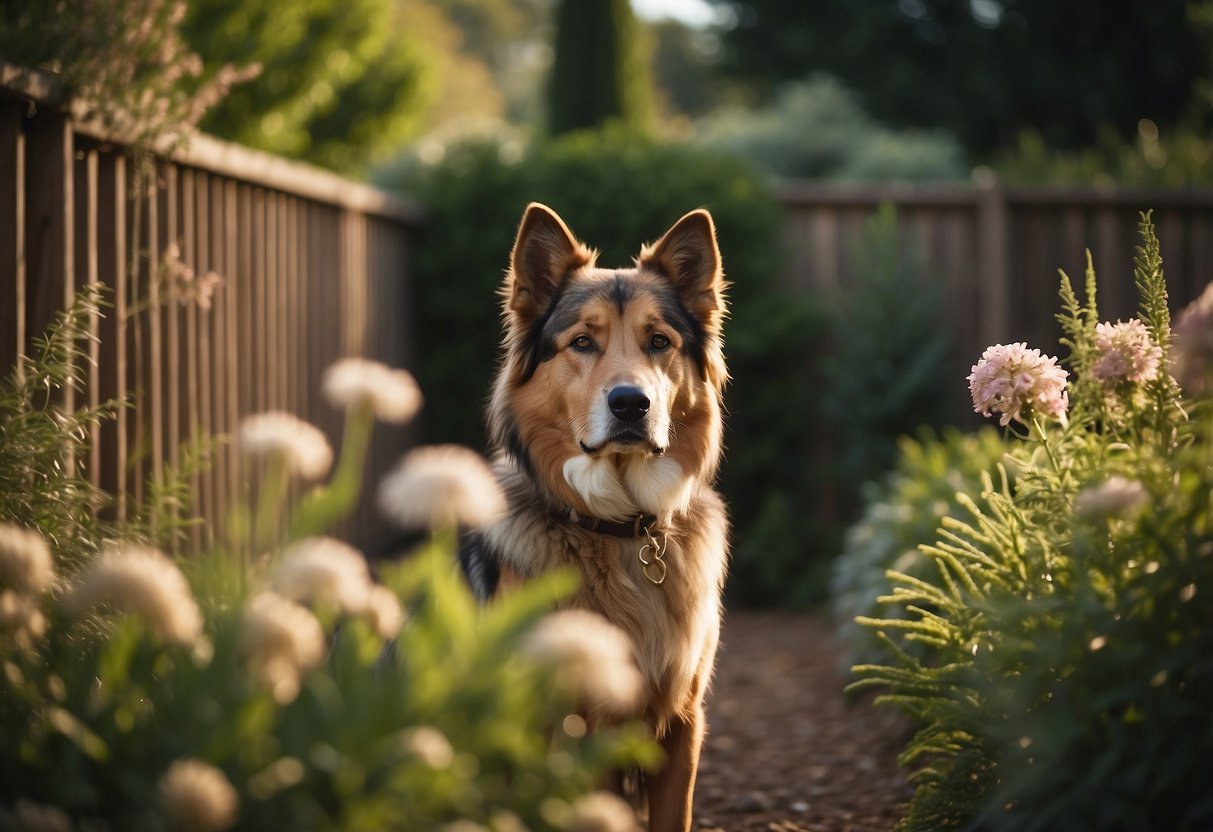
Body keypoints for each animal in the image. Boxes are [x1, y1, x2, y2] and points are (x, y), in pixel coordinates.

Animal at [458, 203, 727, 832]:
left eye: (659, 340)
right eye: (582, 342)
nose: (631, 404)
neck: (621, 528)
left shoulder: (682, 723)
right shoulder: (555, 735)